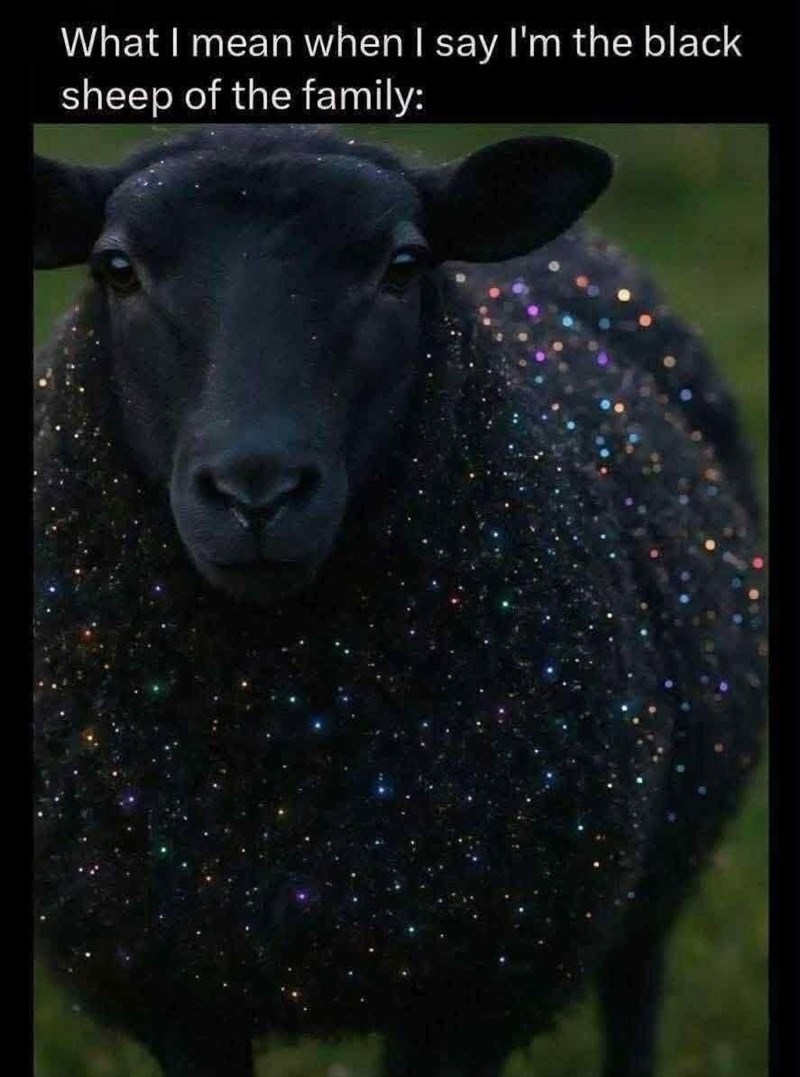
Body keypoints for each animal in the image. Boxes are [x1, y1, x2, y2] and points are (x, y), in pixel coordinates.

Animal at [34, 125, 766, 1077]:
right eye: (115, 269)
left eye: (404, 265)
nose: (257, 488)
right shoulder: (176, 982)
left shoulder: (475, 980)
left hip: (660, 853)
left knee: (635, 988)